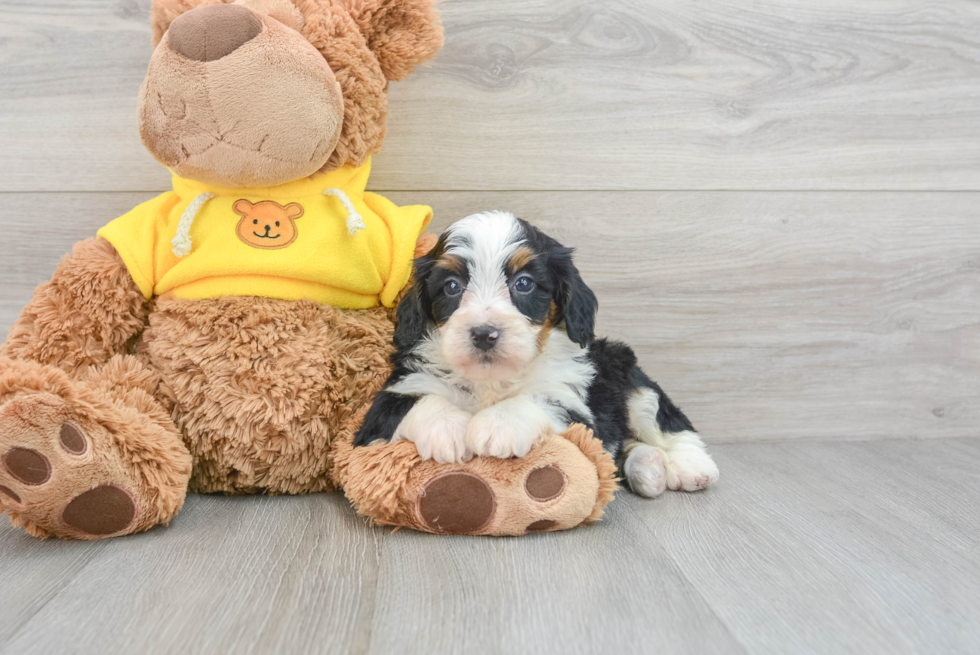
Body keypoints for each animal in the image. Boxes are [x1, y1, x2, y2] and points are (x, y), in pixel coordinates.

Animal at [354, 211, 720, 498]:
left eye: (524, 283)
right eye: (452, 287)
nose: (484, 334)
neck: (491, 381)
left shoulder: (576, 408)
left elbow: (540, 399)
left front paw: (497, 426)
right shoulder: (388, 401)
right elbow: (416, 402)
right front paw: (450, 430)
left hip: (625, 370)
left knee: (666, 420)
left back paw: (689, 466)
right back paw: (648, 467)